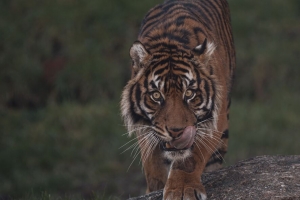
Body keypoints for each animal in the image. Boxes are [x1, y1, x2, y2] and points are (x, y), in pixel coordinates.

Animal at [120, 0, 236, 198]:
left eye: (189, 93)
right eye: (156, 95)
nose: (176, 131)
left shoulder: (213, 122)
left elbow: (189, 159)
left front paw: (182, 190)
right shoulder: (145, 128)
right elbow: (152, 164)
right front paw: (156, 188)